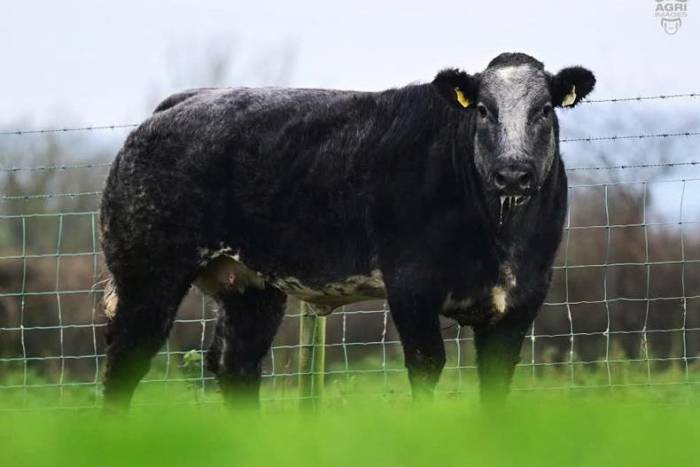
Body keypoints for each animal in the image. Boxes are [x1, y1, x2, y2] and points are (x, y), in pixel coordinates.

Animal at [99, 52, 595, 410]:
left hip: (251, 288)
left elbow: (495, 383)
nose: (512, 173)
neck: (501, 240)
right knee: (124, 364)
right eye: (485, 111)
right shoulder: (411, 286)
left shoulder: (522, 298)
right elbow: (427, 366)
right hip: (148, 274)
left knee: (235, 365)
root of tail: (183, 103)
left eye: (544, 109)